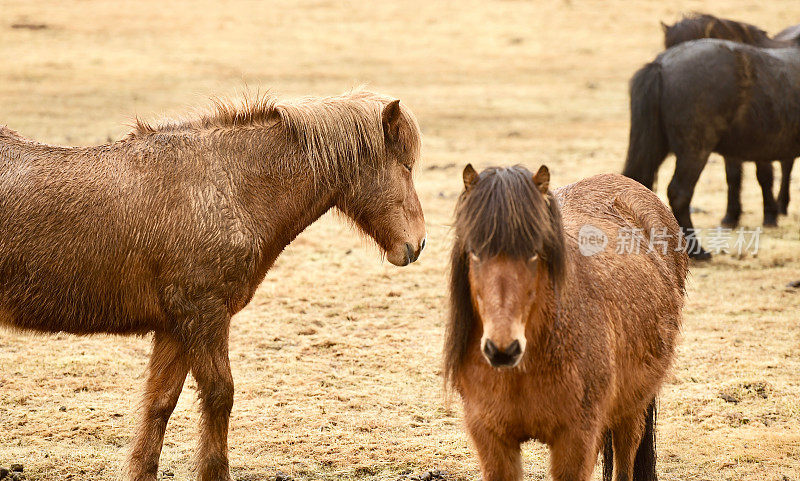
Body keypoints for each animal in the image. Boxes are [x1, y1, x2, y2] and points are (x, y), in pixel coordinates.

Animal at [0, 88, 428, 478]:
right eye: (405, 166)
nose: (418, 244)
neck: (227, 188)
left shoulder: (175, 327)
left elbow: (159, 403)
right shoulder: (204, 315)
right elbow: (220, 394)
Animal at [444, 165, 688, 480]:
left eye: (535, 252)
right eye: (474, 251)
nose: (502, 350)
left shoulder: (576, 440)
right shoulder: (491, 439)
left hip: (631, 407)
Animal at [660, 11, 796, 229]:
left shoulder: (762, 141)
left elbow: (764, 175)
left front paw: (769, 216)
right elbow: (732, 176)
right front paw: (731, 216)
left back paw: (780, 206)